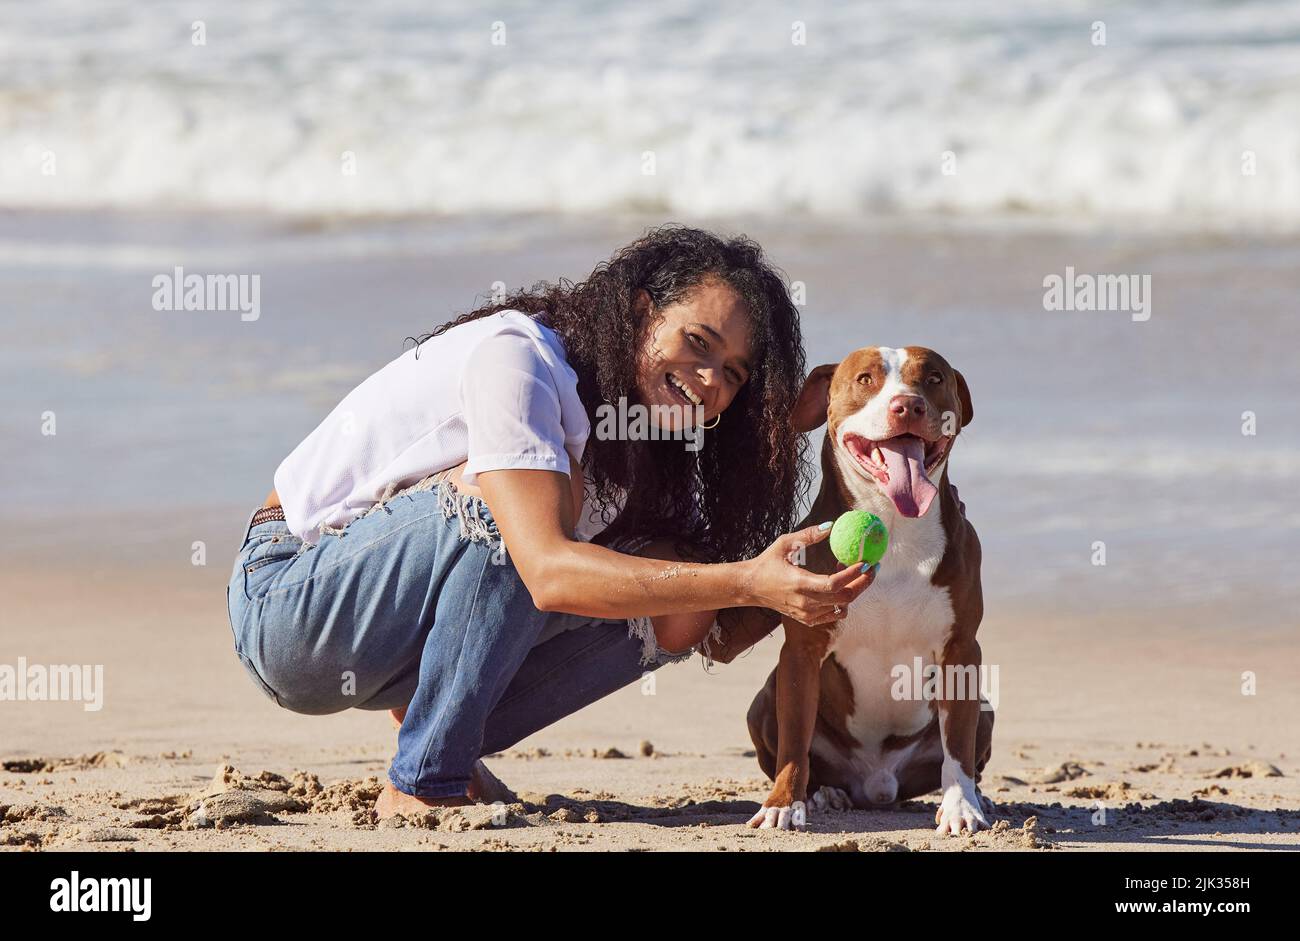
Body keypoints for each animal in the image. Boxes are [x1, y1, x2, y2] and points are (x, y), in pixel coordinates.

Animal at [743, 348, 993, 831]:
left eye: (934, 378)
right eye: (865, 379)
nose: (908, 406)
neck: (895, 527)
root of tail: (877, 785)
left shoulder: (961, 649)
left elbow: (958, 743)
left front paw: (961, 806)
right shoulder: (801, 650)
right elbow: (794, 740)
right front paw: (783, 804)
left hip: (986, 708)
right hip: (763, 701)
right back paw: (825, 794)